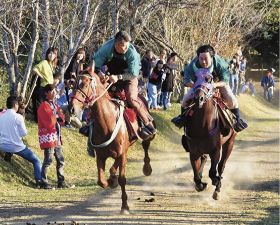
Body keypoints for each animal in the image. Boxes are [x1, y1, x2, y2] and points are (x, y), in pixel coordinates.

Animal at [70, 71, 153, 214]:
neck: (107, 122)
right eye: (74, 84)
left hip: (145, 136)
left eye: (85, 85)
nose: (72, 108)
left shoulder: (122, 154)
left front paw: (124, 206)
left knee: (145, 146)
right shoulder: (100, 155)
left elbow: (121, 178)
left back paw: (147, 168)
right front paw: (111, 181)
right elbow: (101, 181)